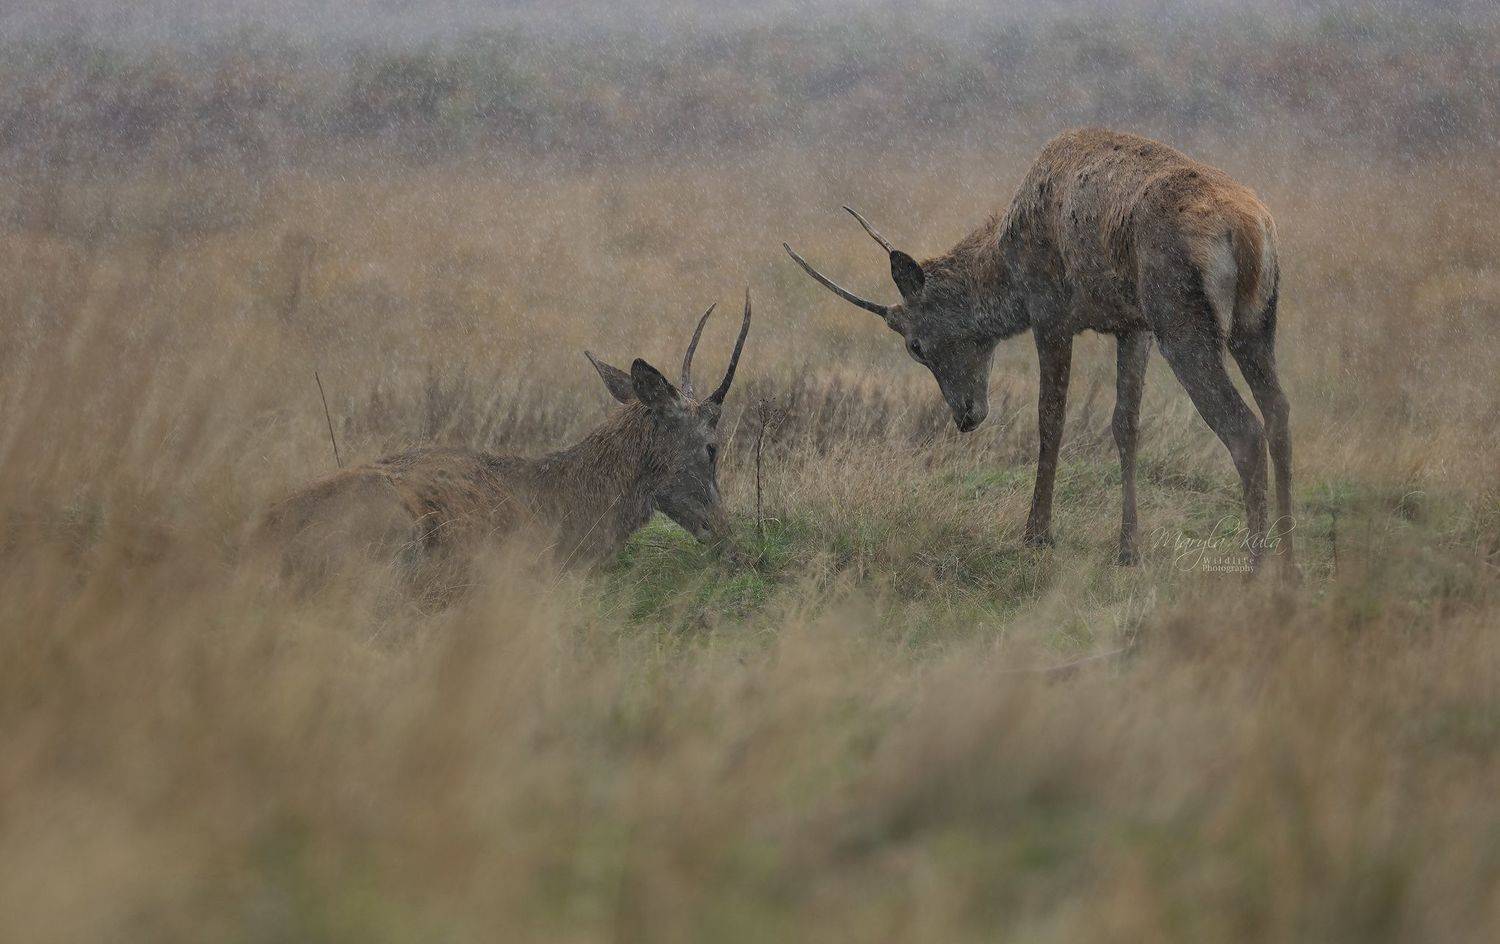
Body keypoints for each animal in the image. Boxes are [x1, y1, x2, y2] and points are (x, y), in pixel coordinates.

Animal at [785, 128, 1292, 571]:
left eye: (916, 345)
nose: (965, 416)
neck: (1008, 269)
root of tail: (1250, 231)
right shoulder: (1133, 326)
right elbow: (1125, 425)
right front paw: (1128, 548)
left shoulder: (1049, 312)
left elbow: (1051, 418)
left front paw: (1037, 533)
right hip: (1255, 322)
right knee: (1279, 412)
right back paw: (1290, 560)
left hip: (1181, 319)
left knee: (1245, 428)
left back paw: (1257, 567)